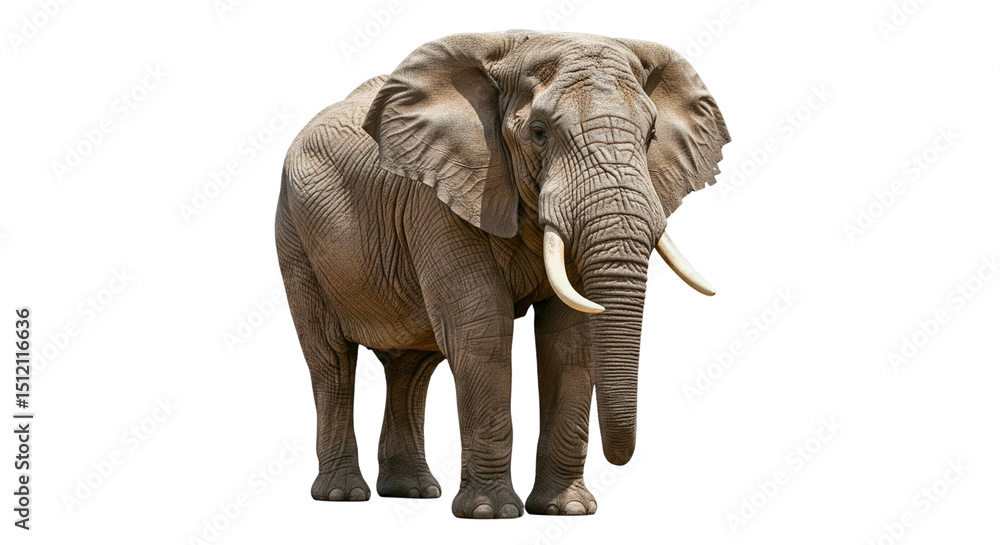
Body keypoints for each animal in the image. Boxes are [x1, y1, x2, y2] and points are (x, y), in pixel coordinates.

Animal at [275, 31, 728, 519]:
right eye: (539, 133)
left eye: (650, 136)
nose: (620, 458)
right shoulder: (440, 195)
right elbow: (482, 330)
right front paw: (491, 513)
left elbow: (569, 340)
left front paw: (567, 510)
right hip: (294, 235)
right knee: (331, 358)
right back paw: (343, 495)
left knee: (411, 366)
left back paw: (412, 491)